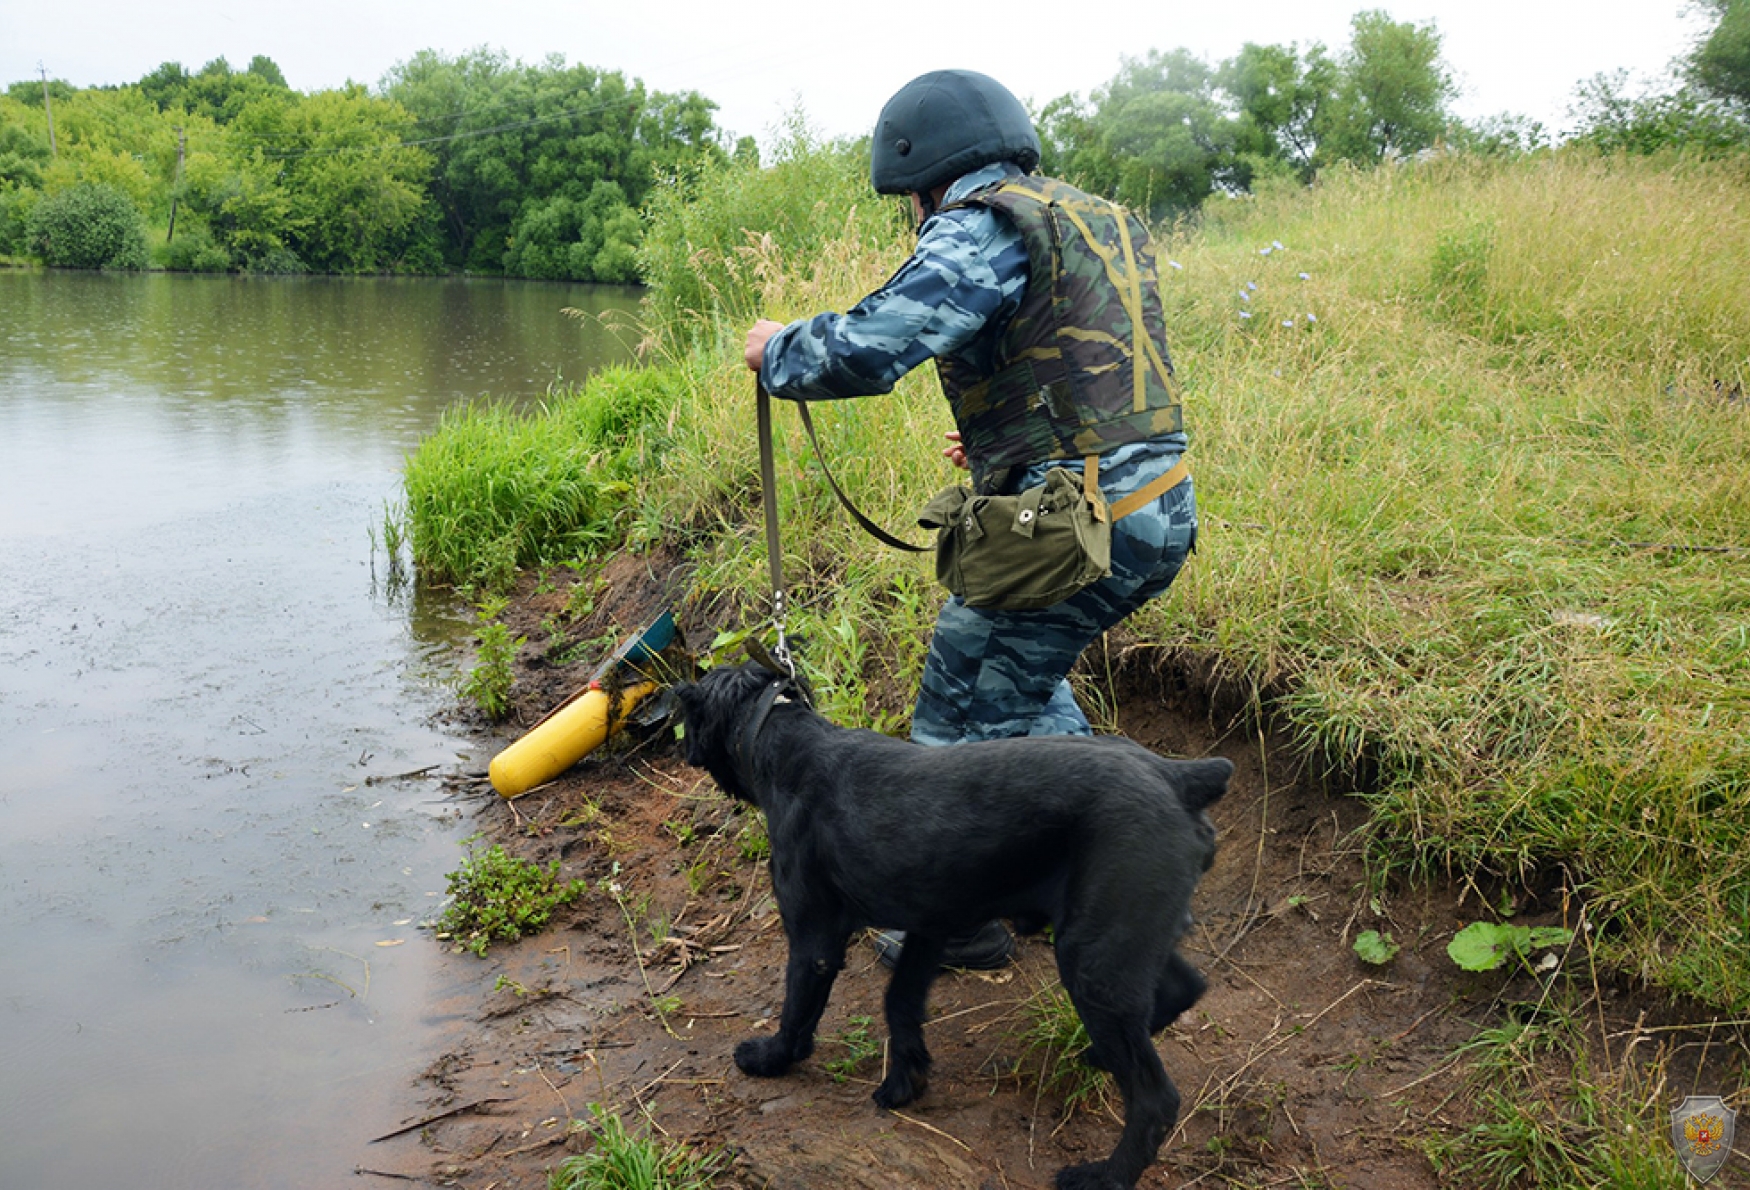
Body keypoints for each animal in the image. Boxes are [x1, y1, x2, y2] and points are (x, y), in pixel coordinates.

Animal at [668, 665, 1232, 1183]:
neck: (784, 742)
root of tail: (1179, 779)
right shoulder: (929, 926)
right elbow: (900, 1001)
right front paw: (906, 1079)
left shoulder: (815, 940)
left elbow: (797, 1011)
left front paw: (771, 1058)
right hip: (1118, 937)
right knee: (1184, 987)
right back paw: (1096, 1054)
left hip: (1093, 960)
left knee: (1155, 1098)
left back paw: (1104, 1176)